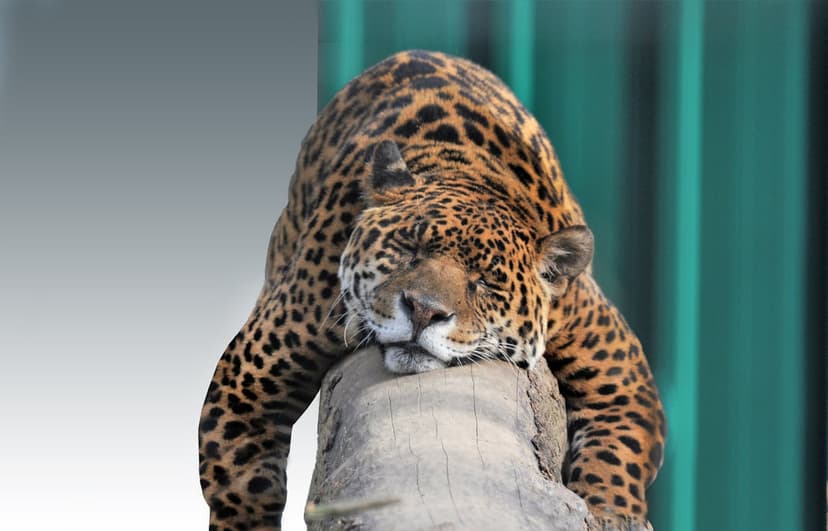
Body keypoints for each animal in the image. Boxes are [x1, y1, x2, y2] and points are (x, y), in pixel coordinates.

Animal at [199, 50, 666, 531]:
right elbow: (240, 485)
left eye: (486, 281)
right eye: (409, 249)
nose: (423, 311)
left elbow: (618, 458)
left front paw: (610, 513)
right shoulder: (250, 373)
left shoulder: (618, 370)